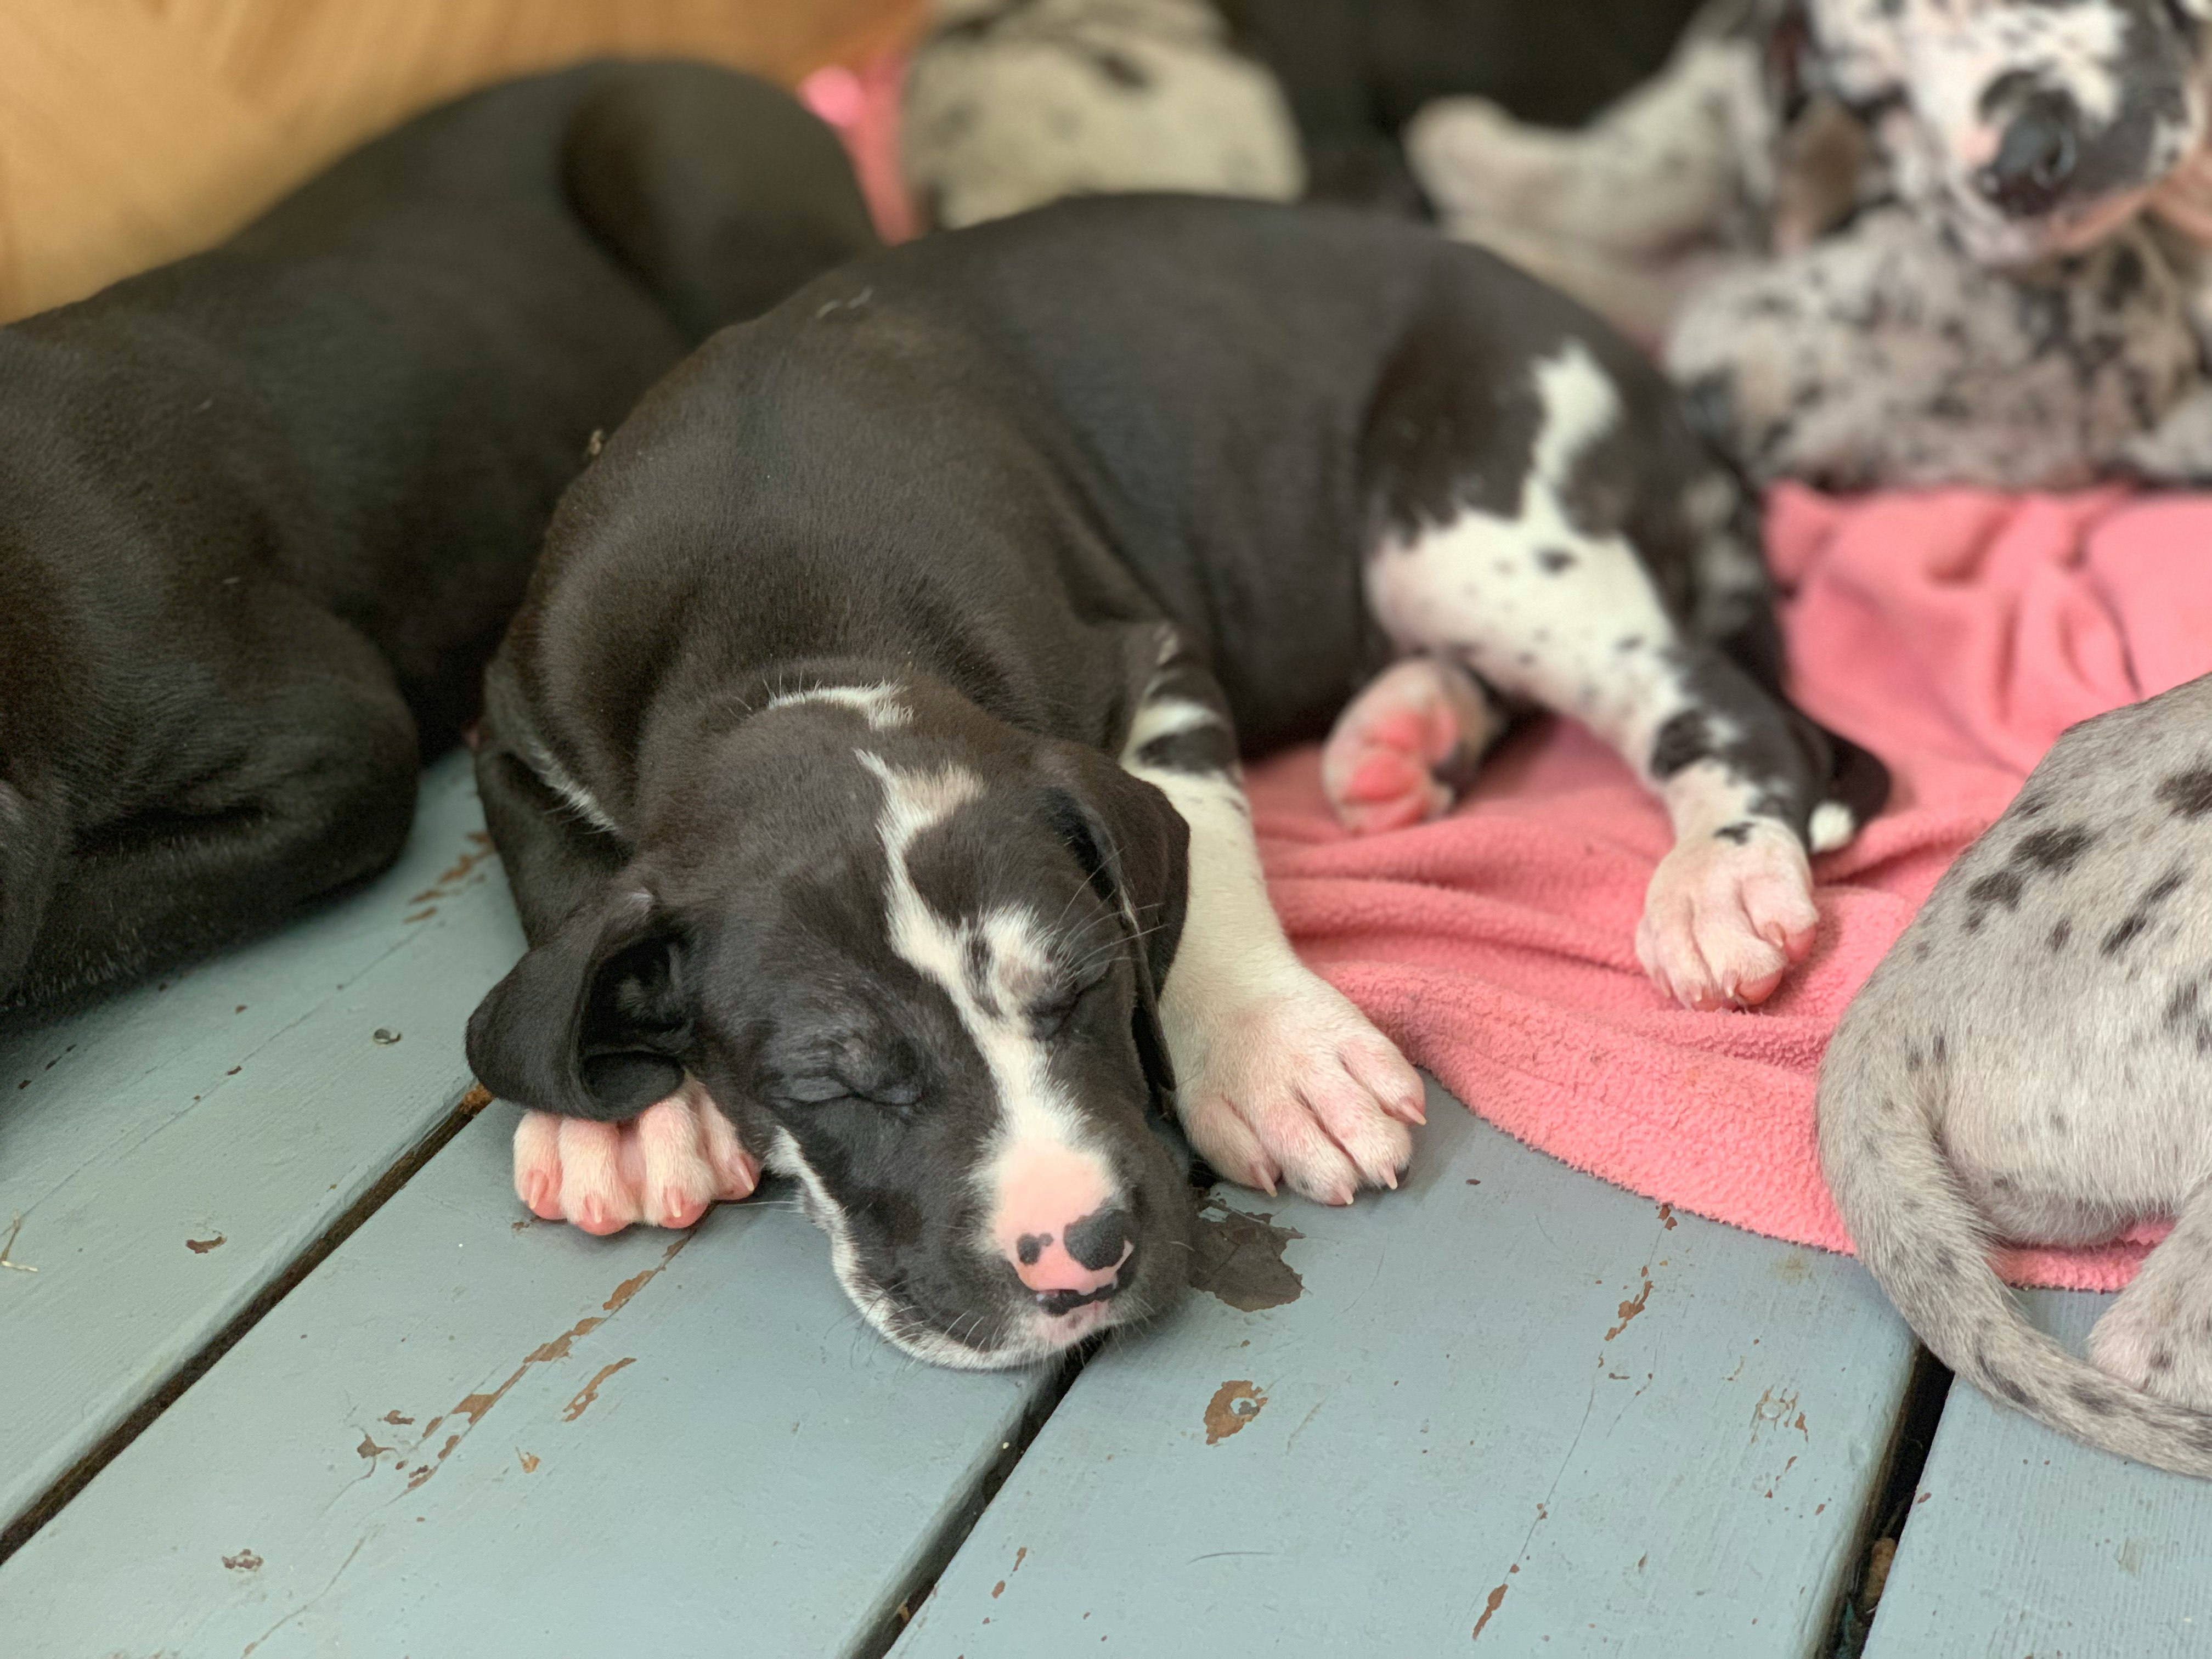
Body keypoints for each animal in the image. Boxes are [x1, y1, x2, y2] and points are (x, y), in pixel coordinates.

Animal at [466, 194, 1884, 1371]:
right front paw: (619, 1116)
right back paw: (1405, 732)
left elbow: (1204, 864)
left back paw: (1716, 876)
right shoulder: (511, 723)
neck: (792, 625)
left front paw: (1277, 1054)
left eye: (1086, 990)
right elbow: (560, 880)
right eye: (827, 1084)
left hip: (1473, 527)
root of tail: (1639, 376)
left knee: (1716, 703)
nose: (1079, 1251)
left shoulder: (1151, 662)